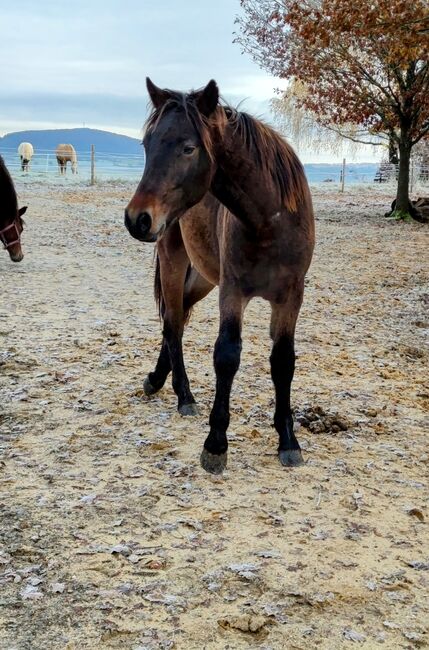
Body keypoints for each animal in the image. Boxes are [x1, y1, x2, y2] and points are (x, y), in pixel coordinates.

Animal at [124, 81, 314, 474]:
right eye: (147, 145)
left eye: (188, 147)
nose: (137, 218)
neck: (269, 223)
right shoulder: (233, 292)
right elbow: (227, 356)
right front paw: (215, 444)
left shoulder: (290, 296)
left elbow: (283, 361)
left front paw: (288, 440)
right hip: (175, 263)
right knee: (172, 325)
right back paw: (183, 395)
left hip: (202, 279)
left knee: (177, 318)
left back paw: (157, 378)